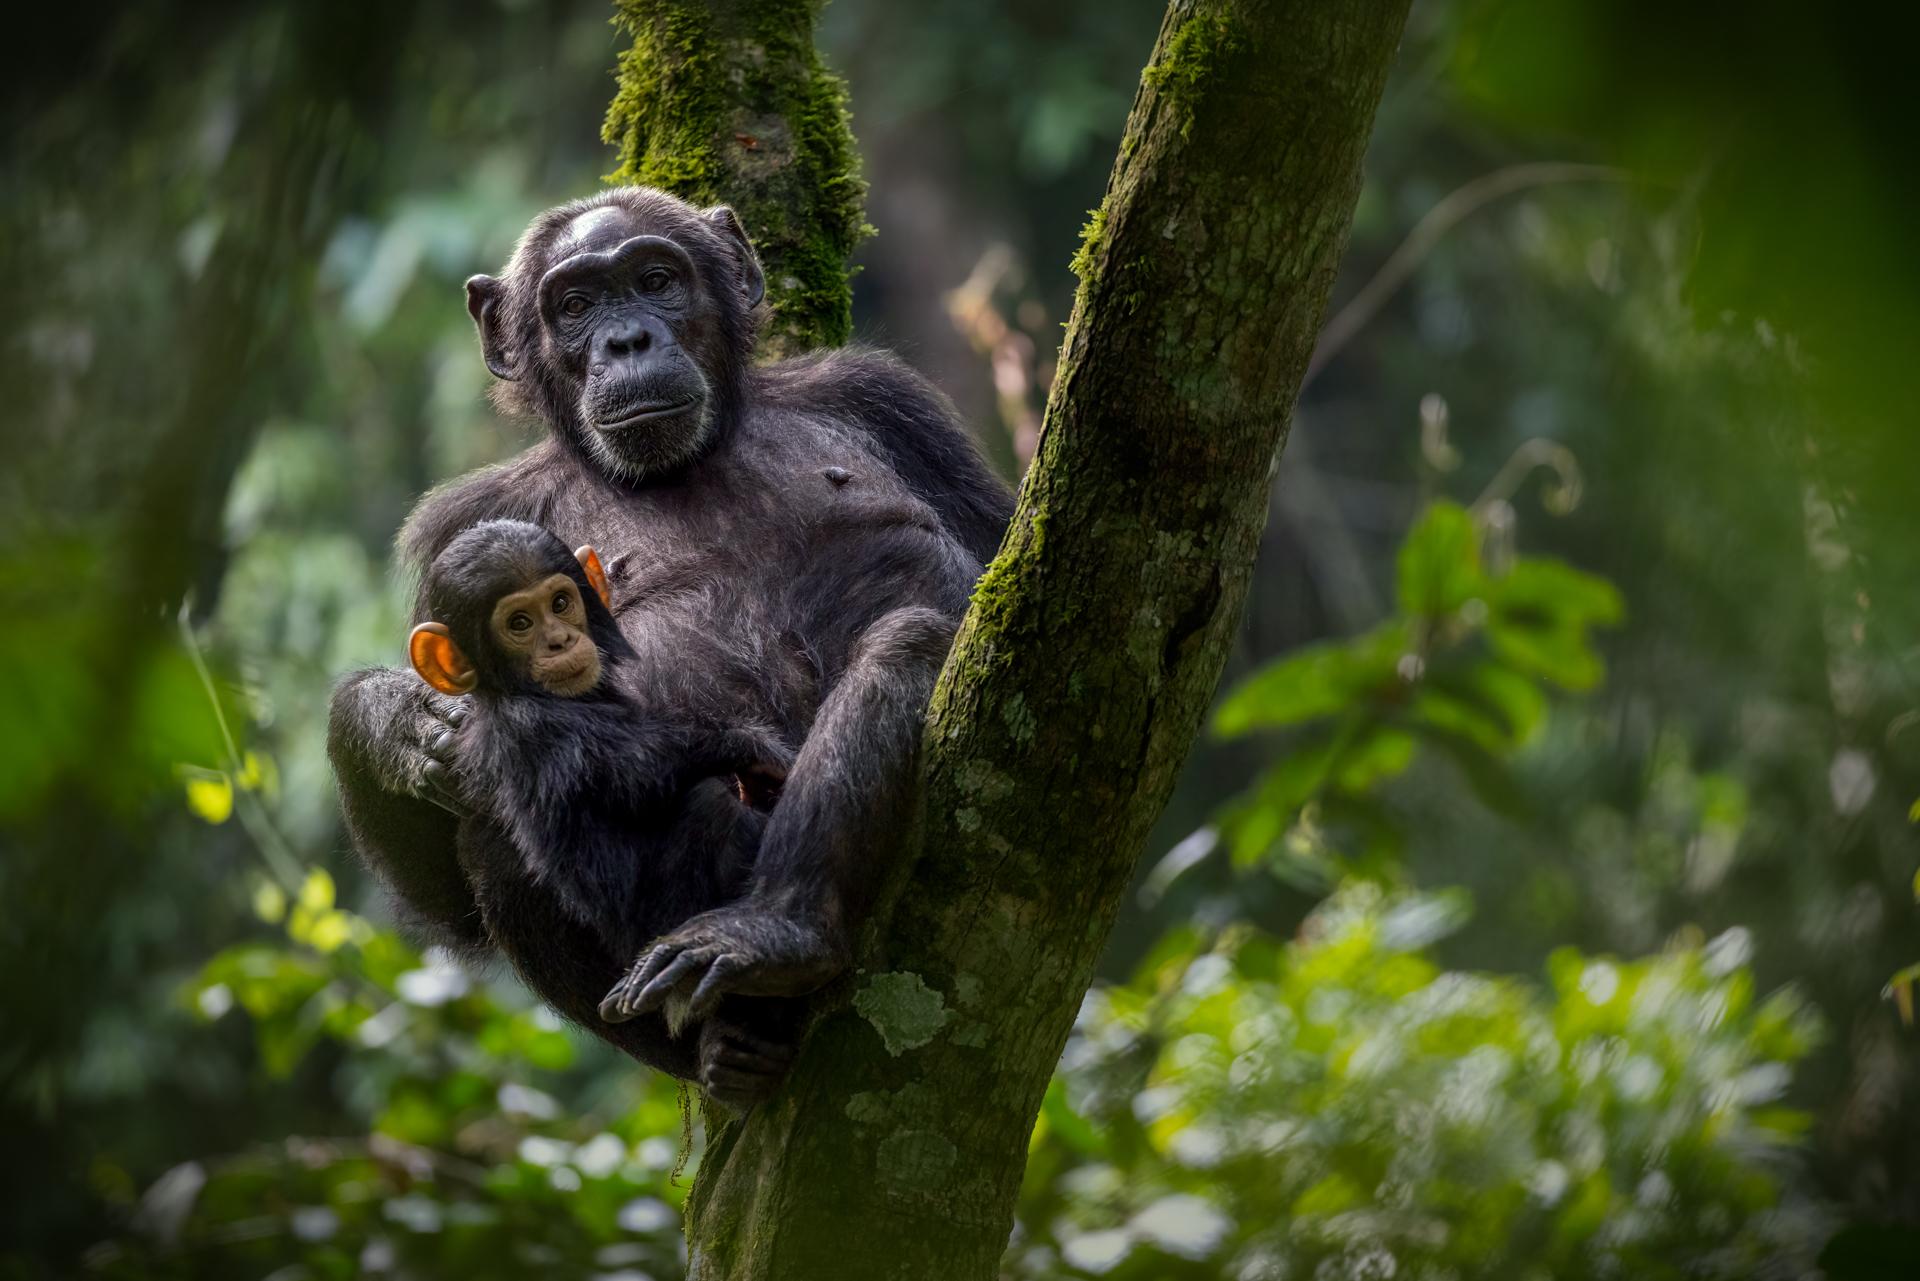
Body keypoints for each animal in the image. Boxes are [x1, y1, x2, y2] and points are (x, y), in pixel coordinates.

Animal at [412, 518, 802, 1106]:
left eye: (560, 603)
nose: (559, 640)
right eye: (519, 623)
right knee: (709, 807)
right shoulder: (540, 728)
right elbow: (640, 771)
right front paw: (752, 747)